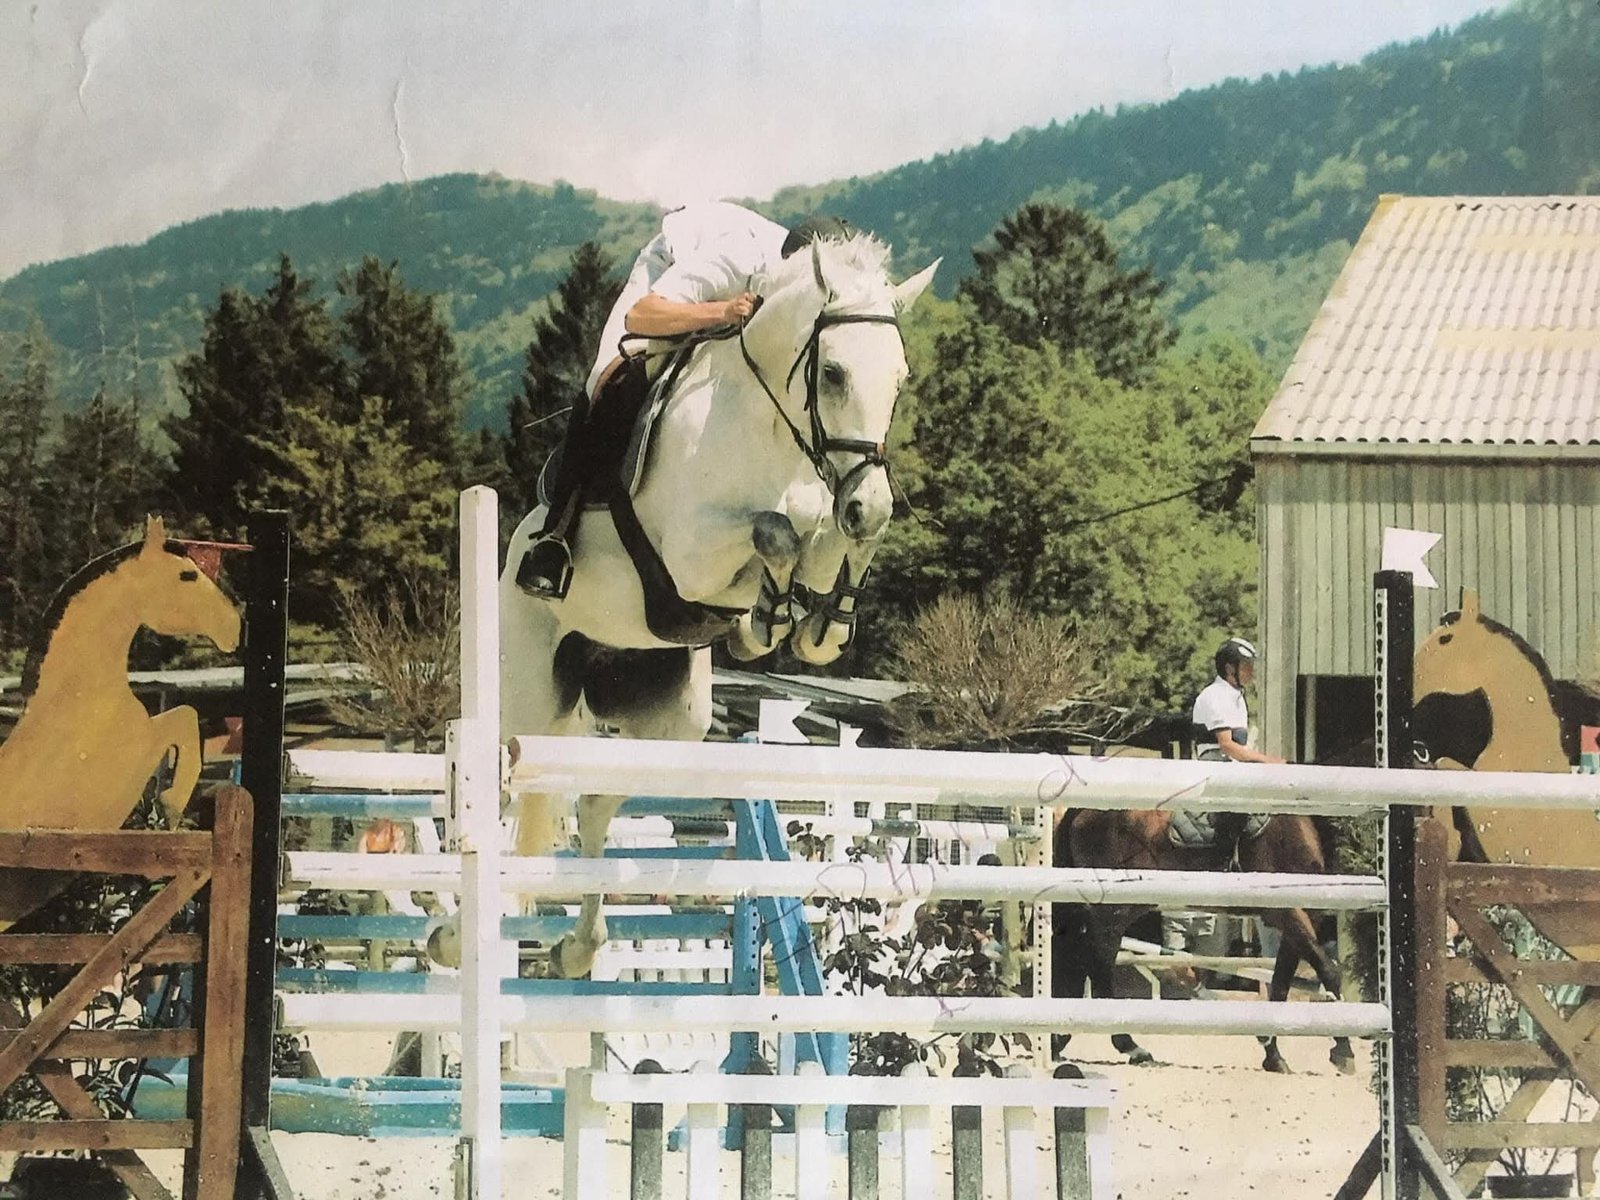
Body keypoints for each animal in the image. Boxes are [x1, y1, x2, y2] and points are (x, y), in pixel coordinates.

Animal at [0, 517, 242, 930]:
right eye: (187, 575)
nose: (235, 627)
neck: (82, 695)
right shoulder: (138, 747)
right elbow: (183, 721)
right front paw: (171, 808)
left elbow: (185, 718)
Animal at [498, 234, 938, 978]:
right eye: (834, 374)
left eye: (900, 379)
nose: (871, 503)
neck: (769, 429)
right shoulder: (689, 558)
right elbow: (776, 530)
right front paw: (768, 618)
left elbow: (818, 540)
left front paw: (809, 619)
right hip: (527, 698)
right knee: (503, 791)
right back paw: (453, 935)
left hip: (672, 718)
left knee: (592, 803)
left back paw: (578, 948)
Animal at [1051, 806, 1356, 1075]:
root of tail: (1082, 812)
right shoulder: (1287, 911)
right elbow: (1328, 972)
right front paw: (1344, 1052)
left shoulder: (1303, 917)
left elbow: (1281, 984)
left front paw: (1273, 1055)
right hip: (1114, 911)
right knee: (1097, 965)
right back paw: (1128, 1045)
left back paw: (1065, 1039)